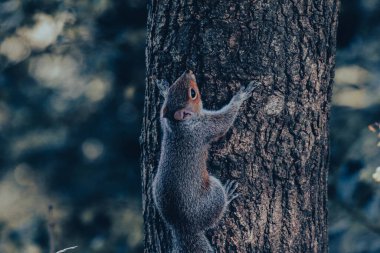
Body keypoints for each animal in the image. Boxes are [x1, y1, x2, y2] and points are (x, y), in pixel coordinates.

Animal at [153, 70, 256, 252]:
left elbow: (161, 114)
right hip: (212, 198)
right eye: (193, 93)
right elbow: (224, 122)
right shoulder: (204, 127)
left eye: (175, 86)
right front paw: (240, 97)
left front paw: (163, 89)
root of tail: (182, 227)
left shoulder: (165, 121)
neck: (179, 124)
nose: (188, 71)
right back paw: (228, 194)